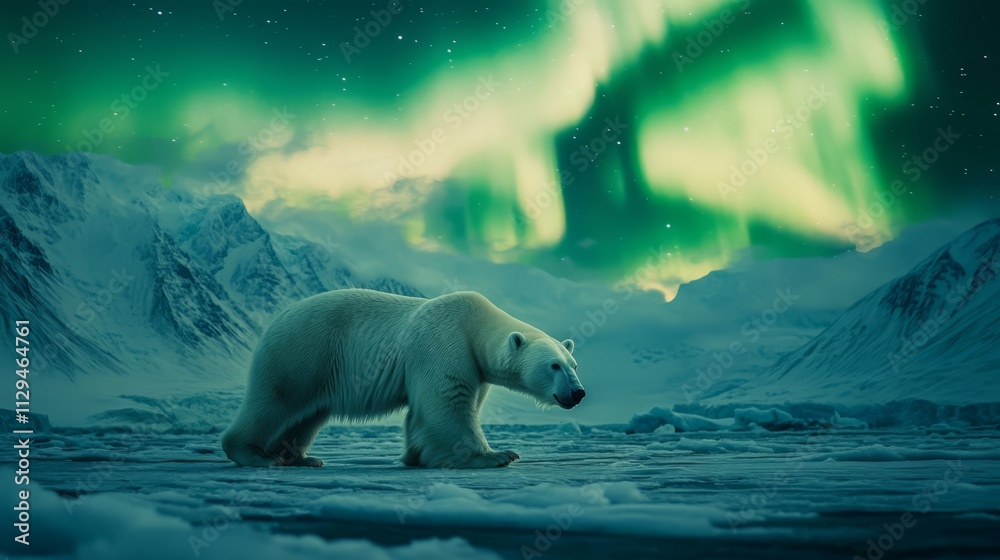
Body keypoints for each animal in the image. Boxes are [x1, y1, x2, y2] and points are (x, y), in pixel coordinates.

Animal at [221, 288, 586, 469]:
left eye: (574, 365)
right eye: (554, 366)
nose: (577, 393)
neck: (476, 324)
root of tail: (276, 319)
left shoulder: (475, 367)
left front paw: (414, 457)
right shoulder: (447, 343)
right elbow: (448, 404)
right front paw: (496, 456)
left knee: (306, 415)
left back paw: (301, 458)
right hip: (304, 351)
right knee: (278, 399)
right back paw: (254, 454)